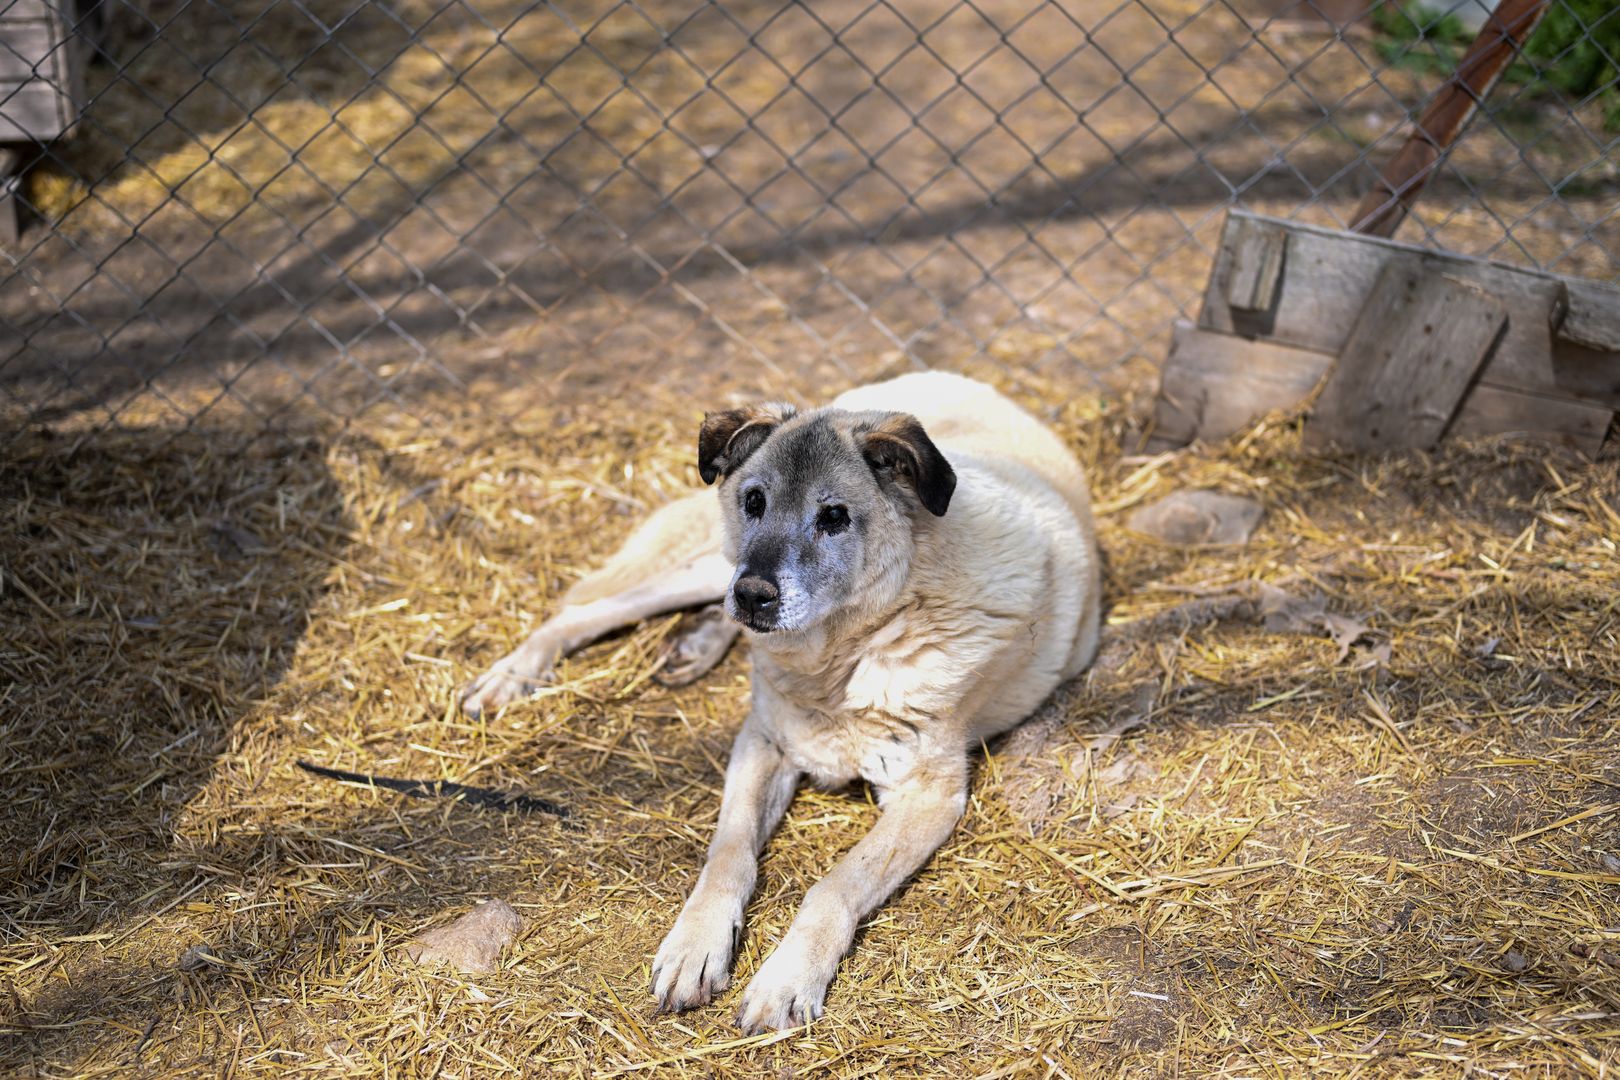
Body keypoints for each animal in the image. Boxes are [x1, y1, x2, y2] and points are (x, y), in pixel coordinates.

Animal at [463, 372, 1108, 1029]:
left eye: (834, 517)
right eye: (755, 502)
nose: (753, 595)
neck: (842, 658)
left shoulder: (928, 797)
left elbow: (834, 885)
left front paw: (786, 979)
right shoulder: (762, 741)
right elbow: (728, 853)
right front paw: (695, 948)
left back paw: (695, 642)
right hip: (711, 566)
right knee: (591, 609)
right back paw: (515, 673)